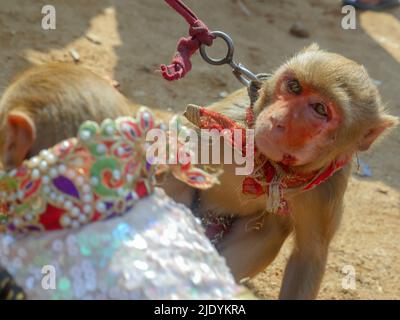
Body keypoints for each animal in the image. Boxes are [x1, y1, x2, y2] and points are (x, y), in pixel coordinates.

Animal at [162, 44, 396, 300]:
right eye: (294, 86)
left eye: (320, 109)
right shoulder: (218, 127)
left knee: (272, 228)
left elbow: (309, 255)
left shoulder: (329, 187)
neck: (270, 166)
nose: (277, 119)